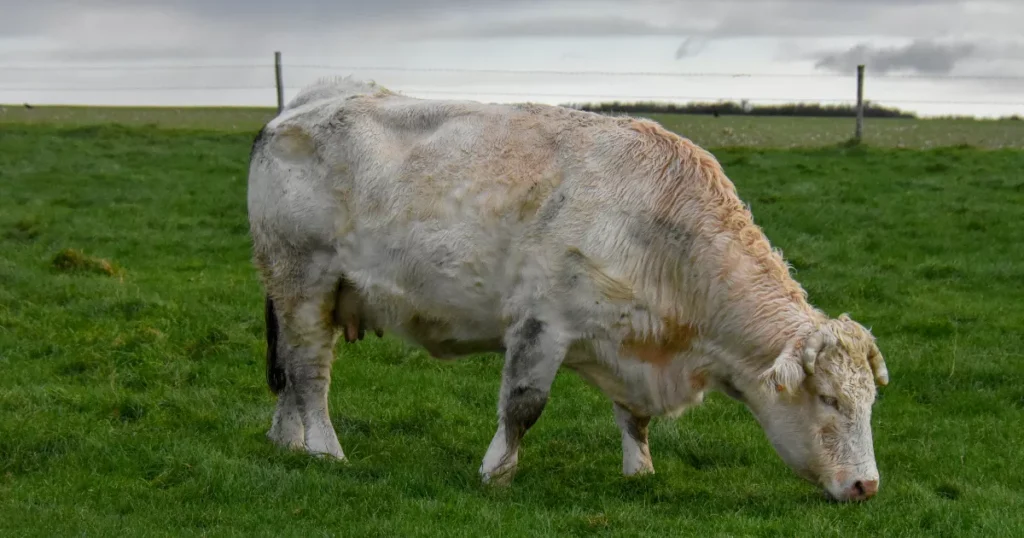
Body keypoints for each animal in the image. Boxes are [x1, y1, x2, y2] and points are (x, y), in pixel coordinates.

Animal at [247, 77, 888, 502]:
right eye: (829, 400)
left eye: (868, 403)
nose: (867, 485)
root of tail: (296, 107)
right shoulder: (542, 321)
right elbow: (523, 405)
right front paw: (496, 472)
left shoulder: (629, 337)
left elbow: (634, 416)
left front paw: (640, 469)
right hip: (303, 281)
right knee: (309, 374)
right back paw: (325, 450)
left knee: (292, 373)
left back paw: (287, 442)